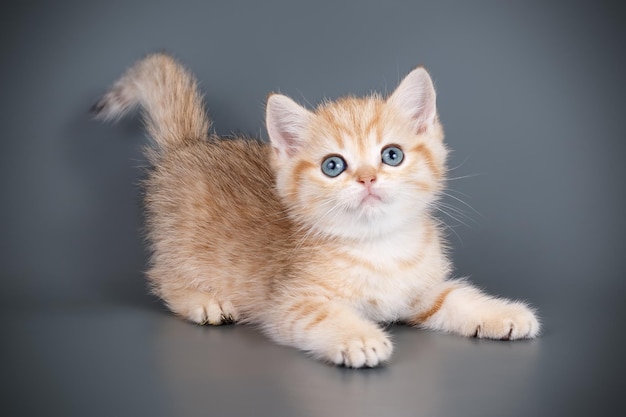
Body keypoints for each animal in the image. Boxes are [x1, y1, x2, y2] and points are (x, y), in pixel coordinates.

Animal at [91, 52, 536, 368]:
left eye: (391, 155)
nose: (367, 178)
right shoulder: (289, 302)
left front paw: (503, 313)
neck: (378, 247)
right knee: (160, 276)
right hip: (180, 246)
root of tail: (188, 145)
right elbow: (323, 316)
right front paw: (360, 338)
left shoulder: (423, 293)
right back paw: (202, 302)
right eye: (333, 165)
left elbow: (457, 298)